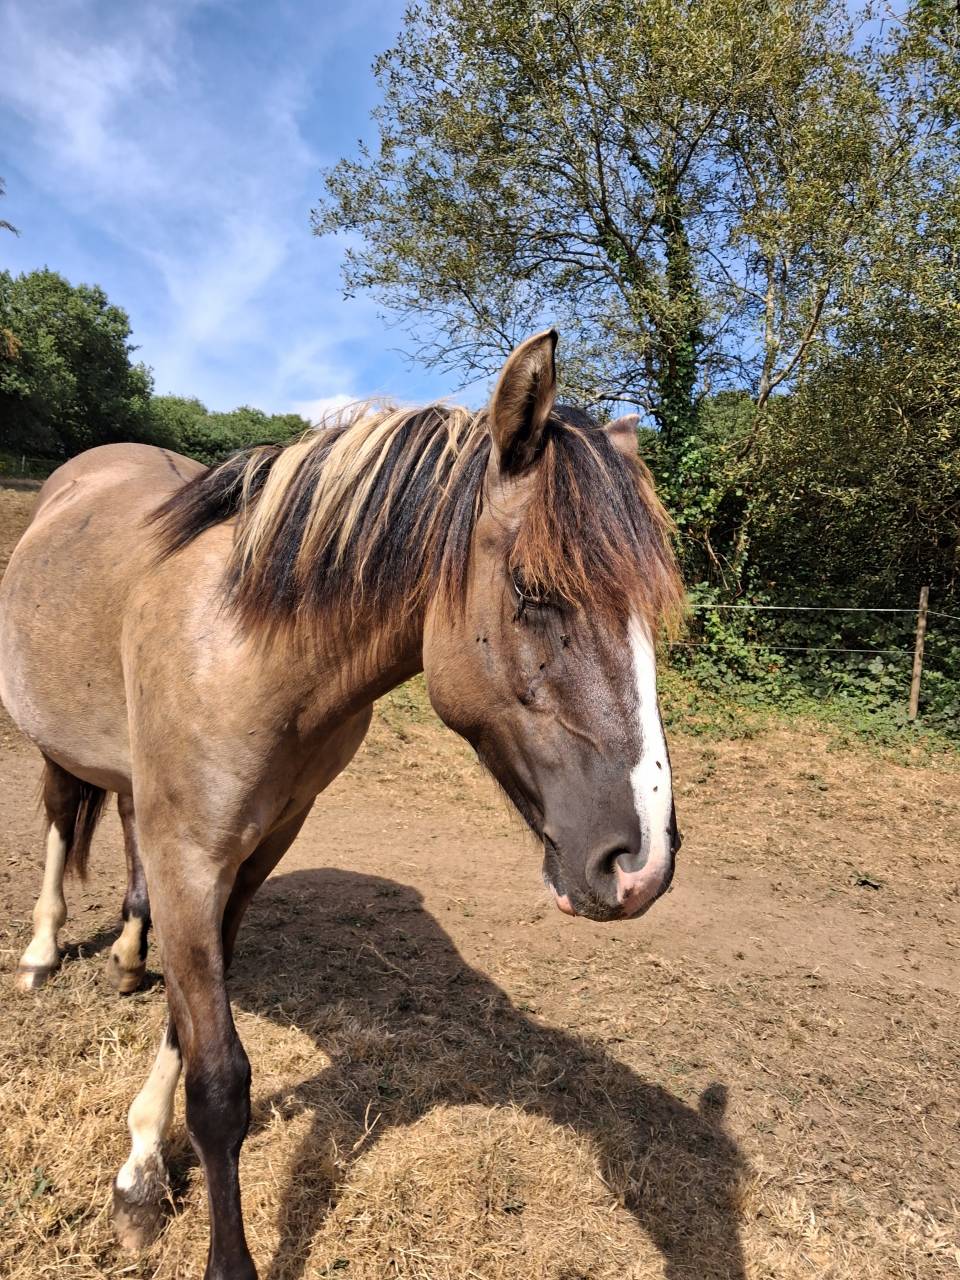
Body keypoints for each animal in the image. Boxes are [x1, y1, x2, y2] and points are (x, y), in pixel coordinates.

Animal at [0, 330, 684, 1280]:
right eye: (533, 592)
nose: (642, 863)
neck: (250, 639)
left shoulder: (249, 855)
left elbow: (186, 1023)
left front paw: (139, 1171)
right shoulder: (193, 857)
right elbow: (218, 1083)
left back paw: (130, 956)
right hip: (59, 747)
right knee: (65, 819)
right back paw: (40, 952)